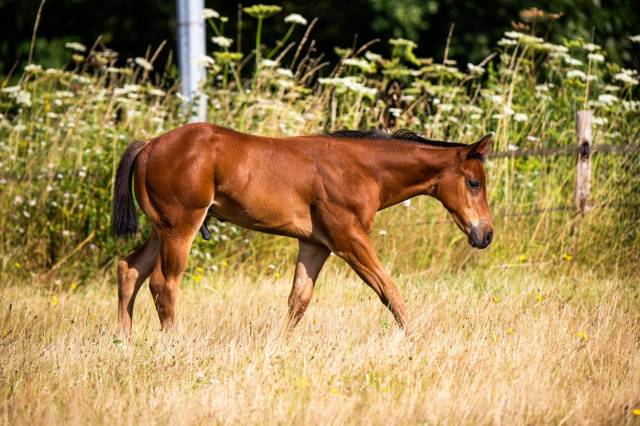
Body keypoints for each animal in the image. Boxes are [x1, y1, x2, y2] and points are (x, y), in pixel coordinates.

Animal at [114, 123, 496, 336]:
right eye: (474, 182)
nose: (486, 234)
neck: (363, 169)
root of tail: (149, 145)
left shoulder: (315, 245)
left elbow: (298, 300)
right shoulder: (349, 240)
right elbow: (389, 290)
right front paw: (417, 339)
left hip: (160, 228)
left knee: (129, 269)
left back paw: (124, 340)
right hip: (181, 226)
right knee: (163, 283)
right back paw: (172, 342)